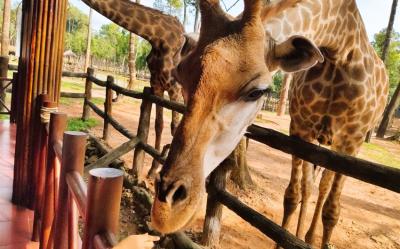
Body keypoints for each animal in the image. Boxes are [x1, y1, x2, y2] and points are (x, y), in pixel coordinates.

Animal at [150, 0, 388, 249]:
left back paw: (311, 238)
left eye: (257, 92)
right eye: (180, 75)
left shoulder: (351, 140)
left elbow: (331, 211)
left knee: (324, 188)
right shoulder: (300, 131)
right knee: (310, 186)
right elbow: (293, 195)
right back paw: (304, 235)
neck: (339, 48)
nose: (166, 213)